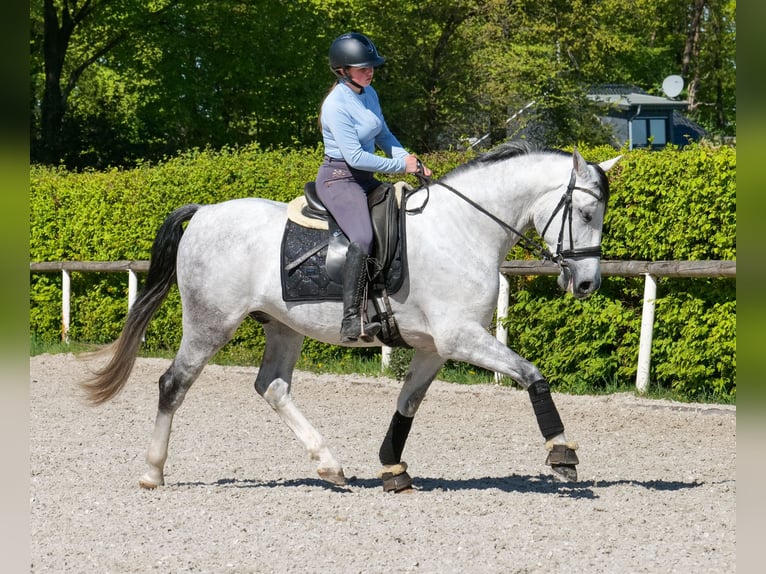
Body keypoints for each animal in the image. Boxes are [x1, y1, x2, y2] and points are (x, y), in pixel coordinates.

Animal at [81, 141, 620, 492]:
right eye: (586, 213)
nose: (587, 284)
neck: (463, 229)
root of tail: (206, 212)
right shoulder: (461, 337)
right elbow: (532, 375)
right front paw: (562, 453)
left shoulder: (434, 347)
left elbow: (408, 403)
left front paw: (392, 468)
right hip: (211, 322)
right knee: (174, 383)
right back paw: (153, 472)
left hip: (283, 327)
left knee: (272, 387)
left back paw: (329, 466)